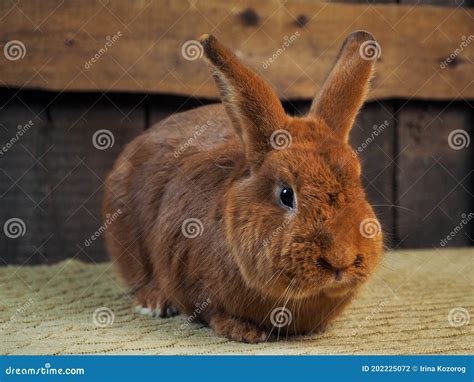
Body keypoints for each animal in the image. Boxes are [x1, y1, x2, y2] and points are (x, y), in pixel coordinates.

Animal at [102, 30, 384, 344]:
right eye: (286, 194)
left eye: (358, 180)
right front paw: (244, 332)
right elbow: (212, 311)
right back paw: (154, 302)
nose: (340, 259)